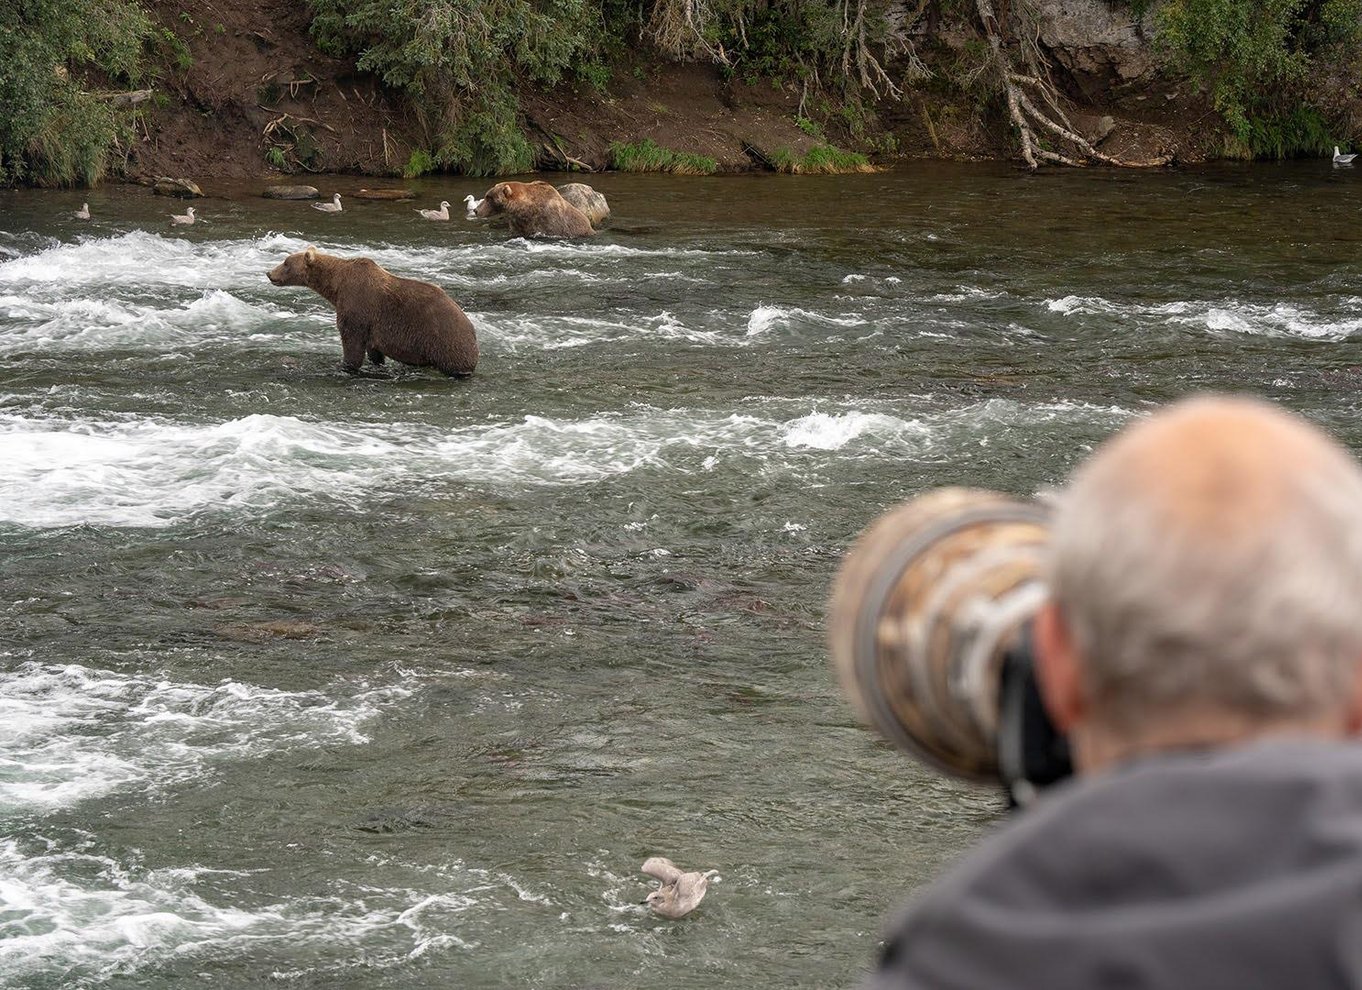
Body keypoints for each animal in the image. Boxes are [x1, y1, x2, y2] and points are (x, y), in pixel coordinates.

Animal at [267, 247, 478, 377]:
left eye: (285, 262)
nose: (269, 273)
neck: (337, 286)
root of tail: (471, 328)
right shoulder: (372, 325)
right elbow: (373, 349)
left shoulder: (357, 306)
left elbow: (352, 342)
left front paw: (346, 366)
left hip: (444, 339)